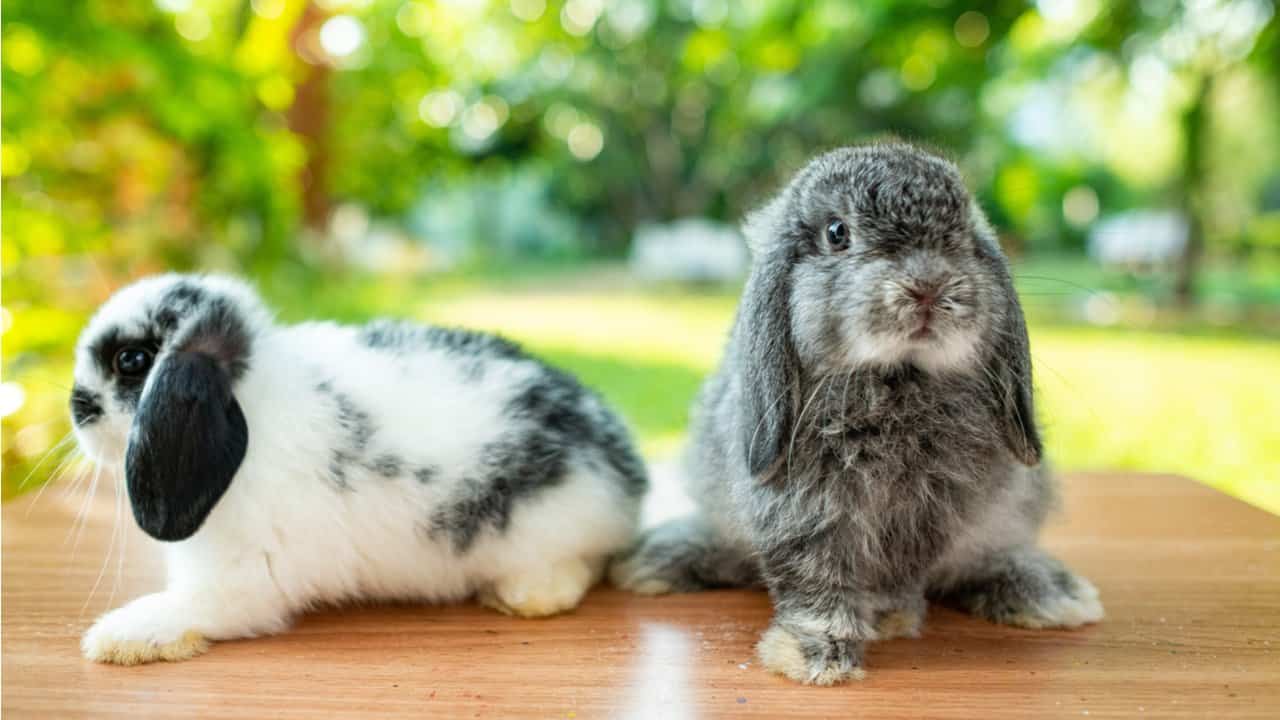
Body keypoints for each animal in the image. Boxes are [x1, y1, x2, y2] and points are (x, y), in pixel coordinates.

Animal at [68, 272, 645, 661]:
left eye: (132, 361)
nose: (76, 407)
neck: (253, 400)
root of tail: (628, 472)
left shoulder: (245, 581)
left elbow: (191, 608)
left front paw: (115, 636)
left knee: (578, 570)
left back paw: (521, 598)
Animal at [609, 141, 1100, 681]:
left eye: (965, 236)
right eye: (837, 232)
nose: (928, 286)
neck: (895, 381)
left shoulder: (931, 515)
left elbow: (899, 576)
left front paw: (886, 618)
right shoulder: (800, 513)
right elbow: (813, 579)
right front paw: (815, 657)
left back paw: (1051, 595)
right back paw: (656, 563)